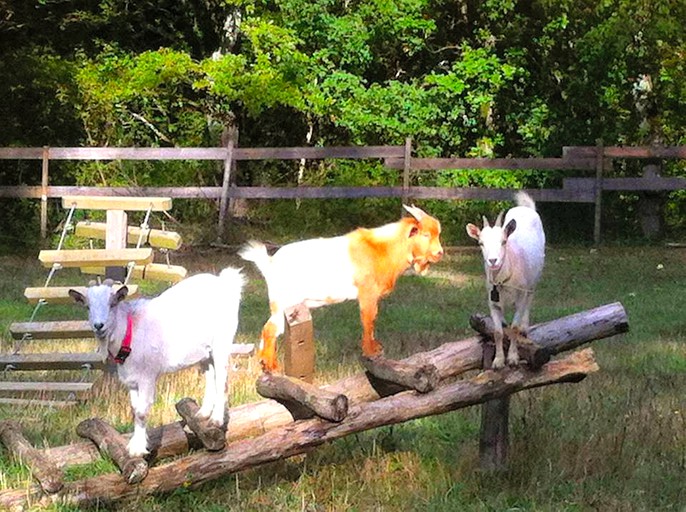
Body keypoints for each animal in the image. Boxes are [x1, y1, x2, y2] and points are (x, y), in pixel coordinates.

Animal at [69, 270, 245, 458]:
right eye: (87, 307)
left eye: (112, 304)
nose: (98, 325)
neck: (129, 332)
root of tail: (224, 281)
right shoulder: (131, 380)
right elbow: (135, 409)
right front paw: (137, 442)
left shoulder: (147, 376)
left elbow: (141, 412)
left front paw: (138, 449)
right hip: (204, 353)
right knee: (210, 375)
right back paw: (202, 414)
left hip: (222, 342)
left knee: (222, 378)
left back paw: (216, 419)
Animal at [468, 190, 548, 370]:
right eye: (481, 243)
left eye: (503, 241)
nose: (493, 260)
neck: (503, 280)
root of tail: (526, 208)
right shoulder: (493, 302)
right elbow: (497, 332)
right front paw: (498, 360)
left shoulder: (520, 296)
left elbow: (515, 328)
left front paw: (512, 358)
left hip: (534, 280)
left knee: (530, 298)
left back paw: (525, 326)